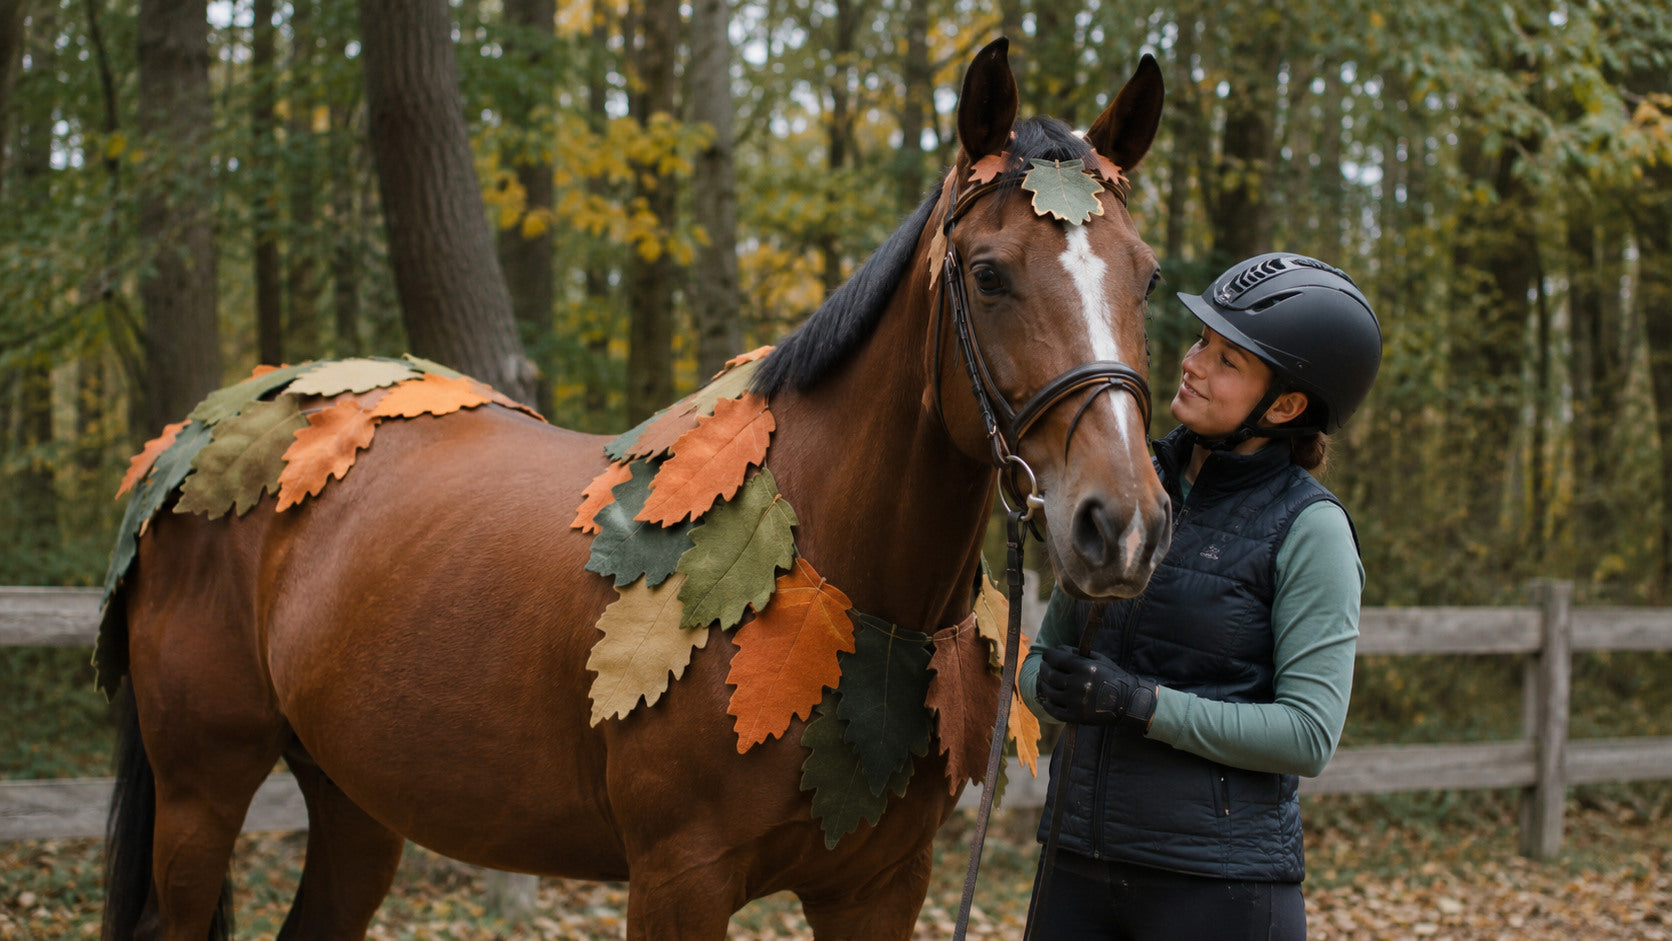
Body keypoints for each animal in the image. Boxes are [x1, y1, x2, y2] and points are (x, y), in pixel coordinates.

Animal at [99, 38, 1169, 940]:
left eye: (1148, 277)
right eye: (988, 274)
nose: (1120, 525)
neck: (834, 565)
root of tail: (196, 440)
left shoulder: (881, 886)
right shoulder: (678, 880)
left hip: (353, 799)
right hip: (200, 791)